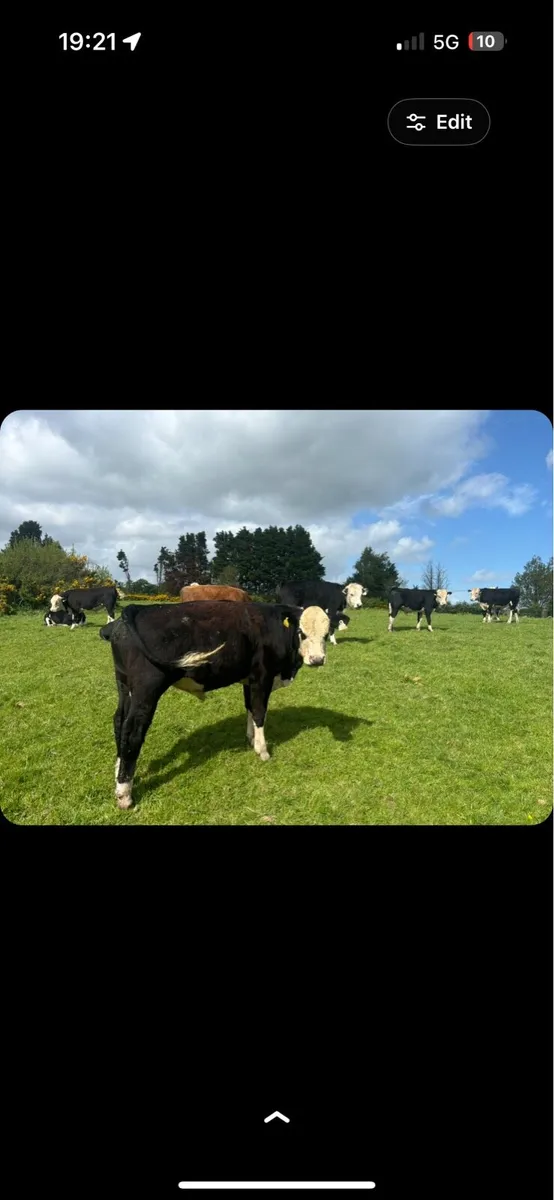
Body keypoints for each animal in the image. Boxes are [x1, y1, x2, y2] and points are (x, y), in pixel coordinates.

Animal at [100, 599, 331, 809]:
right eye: (301, 632)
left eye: (327, 634)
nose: (317, 659)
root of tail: (136, 609)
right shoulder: (261, 676)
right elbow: (259, 712)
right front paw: (262, 750)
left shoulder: (248, 679)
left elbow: (249, 707)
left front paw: (250, 739)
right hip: (146, 688)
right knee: (132, 731)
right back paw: (125, 794)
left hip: (124, 684)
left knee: (119, 722)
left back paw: (119, 772)